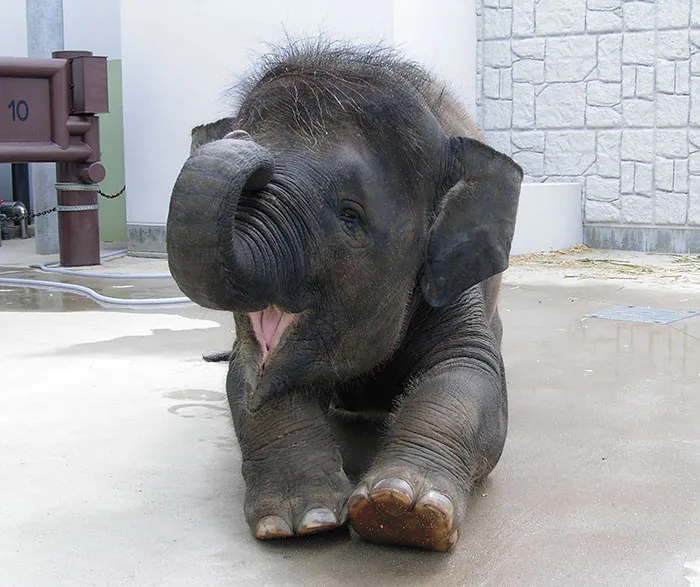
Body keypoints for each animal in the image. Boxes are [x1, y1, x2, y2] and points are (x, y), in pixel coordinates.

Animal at [166, 40, 522, 552]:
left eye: (350, 214)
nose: (240, 137)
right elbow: (249, 382)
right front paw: (303, 518)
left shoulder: (450, 284)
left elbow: (468, 373)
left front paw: (402, 509)